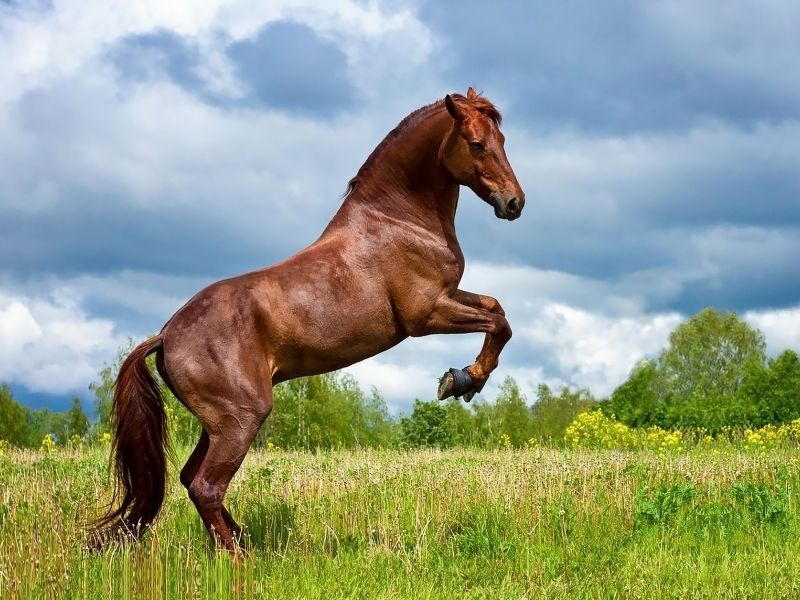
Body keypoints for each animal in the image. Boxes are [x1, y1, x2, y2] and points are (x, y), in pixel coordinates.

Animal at [94, 86, 528, 552]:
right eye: (477, 144)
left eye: (503, 141)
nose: (514, 203)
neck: (399, 220)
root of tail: (166, 335)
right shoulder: (427, 313)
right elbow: (500, 324)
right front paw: (463, 380)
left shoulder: (450, 297)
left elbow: (496, 309)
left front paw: (463, 379)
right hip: (240, 419)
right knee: (206, 485)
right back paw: (240, 558)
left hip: (217, 424)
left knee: (191, 478)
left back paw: (243, 542)